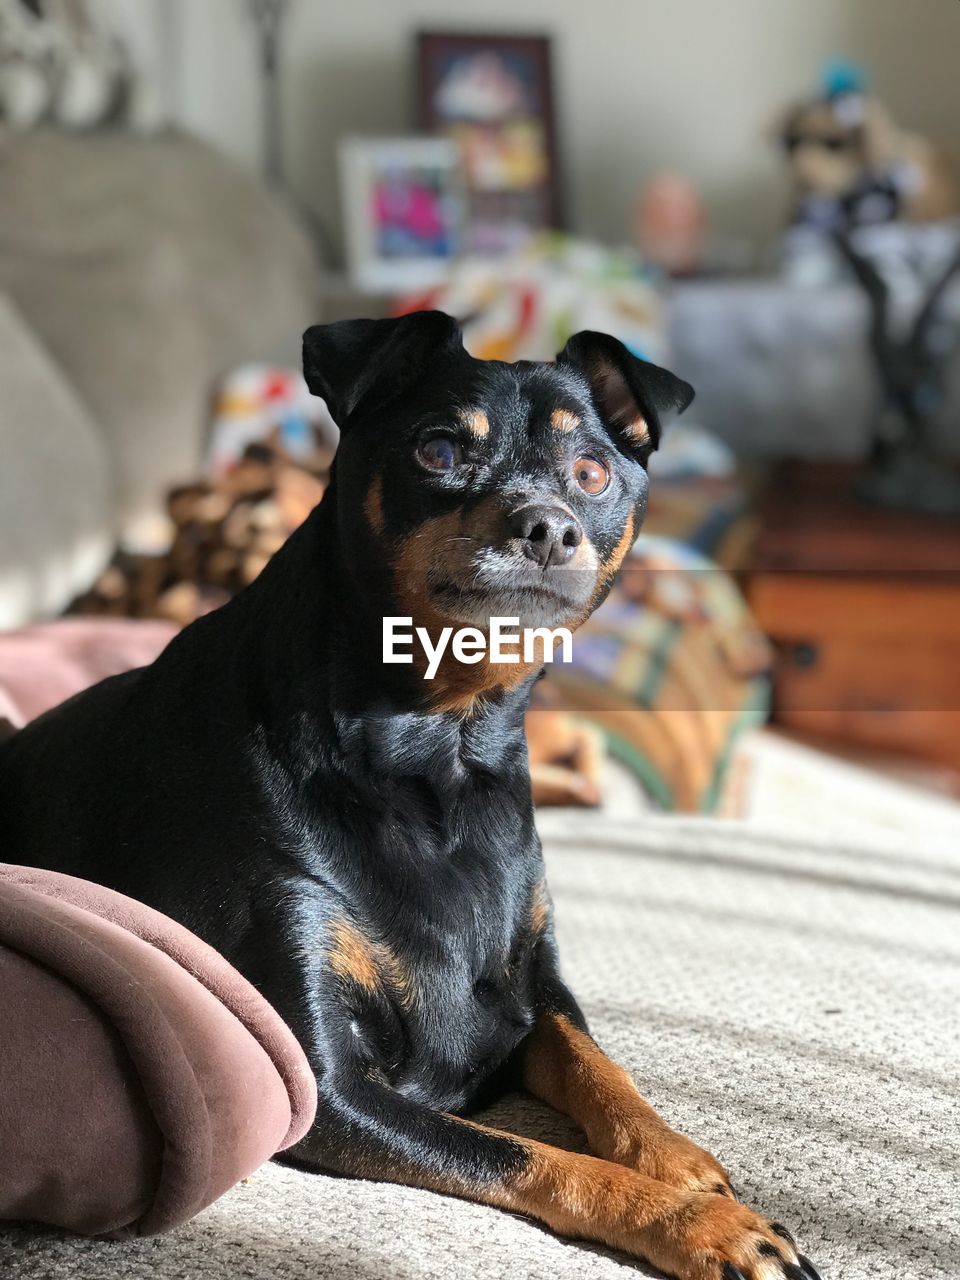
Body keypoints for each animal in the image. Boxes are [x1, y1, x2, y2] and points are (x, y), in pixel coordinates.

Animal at [0, 312, 819, 1280]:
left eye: (591, 474)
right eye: (438, 451)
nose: (549, 527)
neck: (441, 751)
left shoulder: (531, 992)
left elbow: (600, 1067)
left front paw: (681, 1161)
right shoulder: (326, 1085)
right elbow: (530, 1155)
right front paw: (701, 1223)